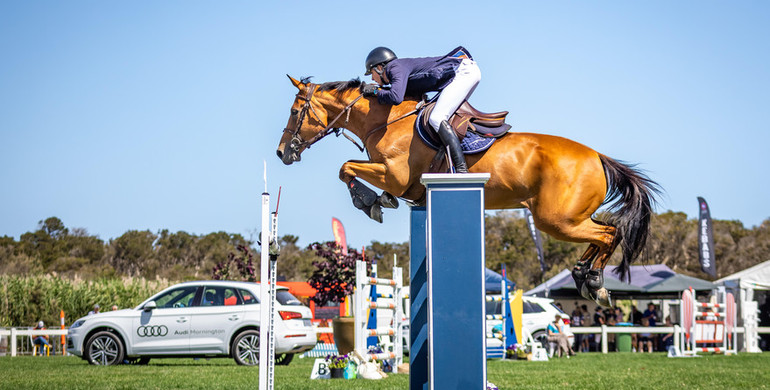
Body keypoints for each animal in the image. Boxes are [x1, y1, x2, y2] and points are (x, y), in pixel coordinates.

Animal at [276, 75, 660, 308]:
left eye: (295, 112)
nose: (282, 153)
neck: (384, 121)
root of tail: (598, 157)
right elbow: (349, 169)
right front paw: (379, 201)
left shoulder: (394, 175)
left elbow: (345, 168)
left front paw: (369, 202)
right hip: (568, 218)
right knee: (603, 233)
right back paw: (583, 277)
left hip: (555, 220)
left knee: (608, 233)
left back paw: (595, 283)